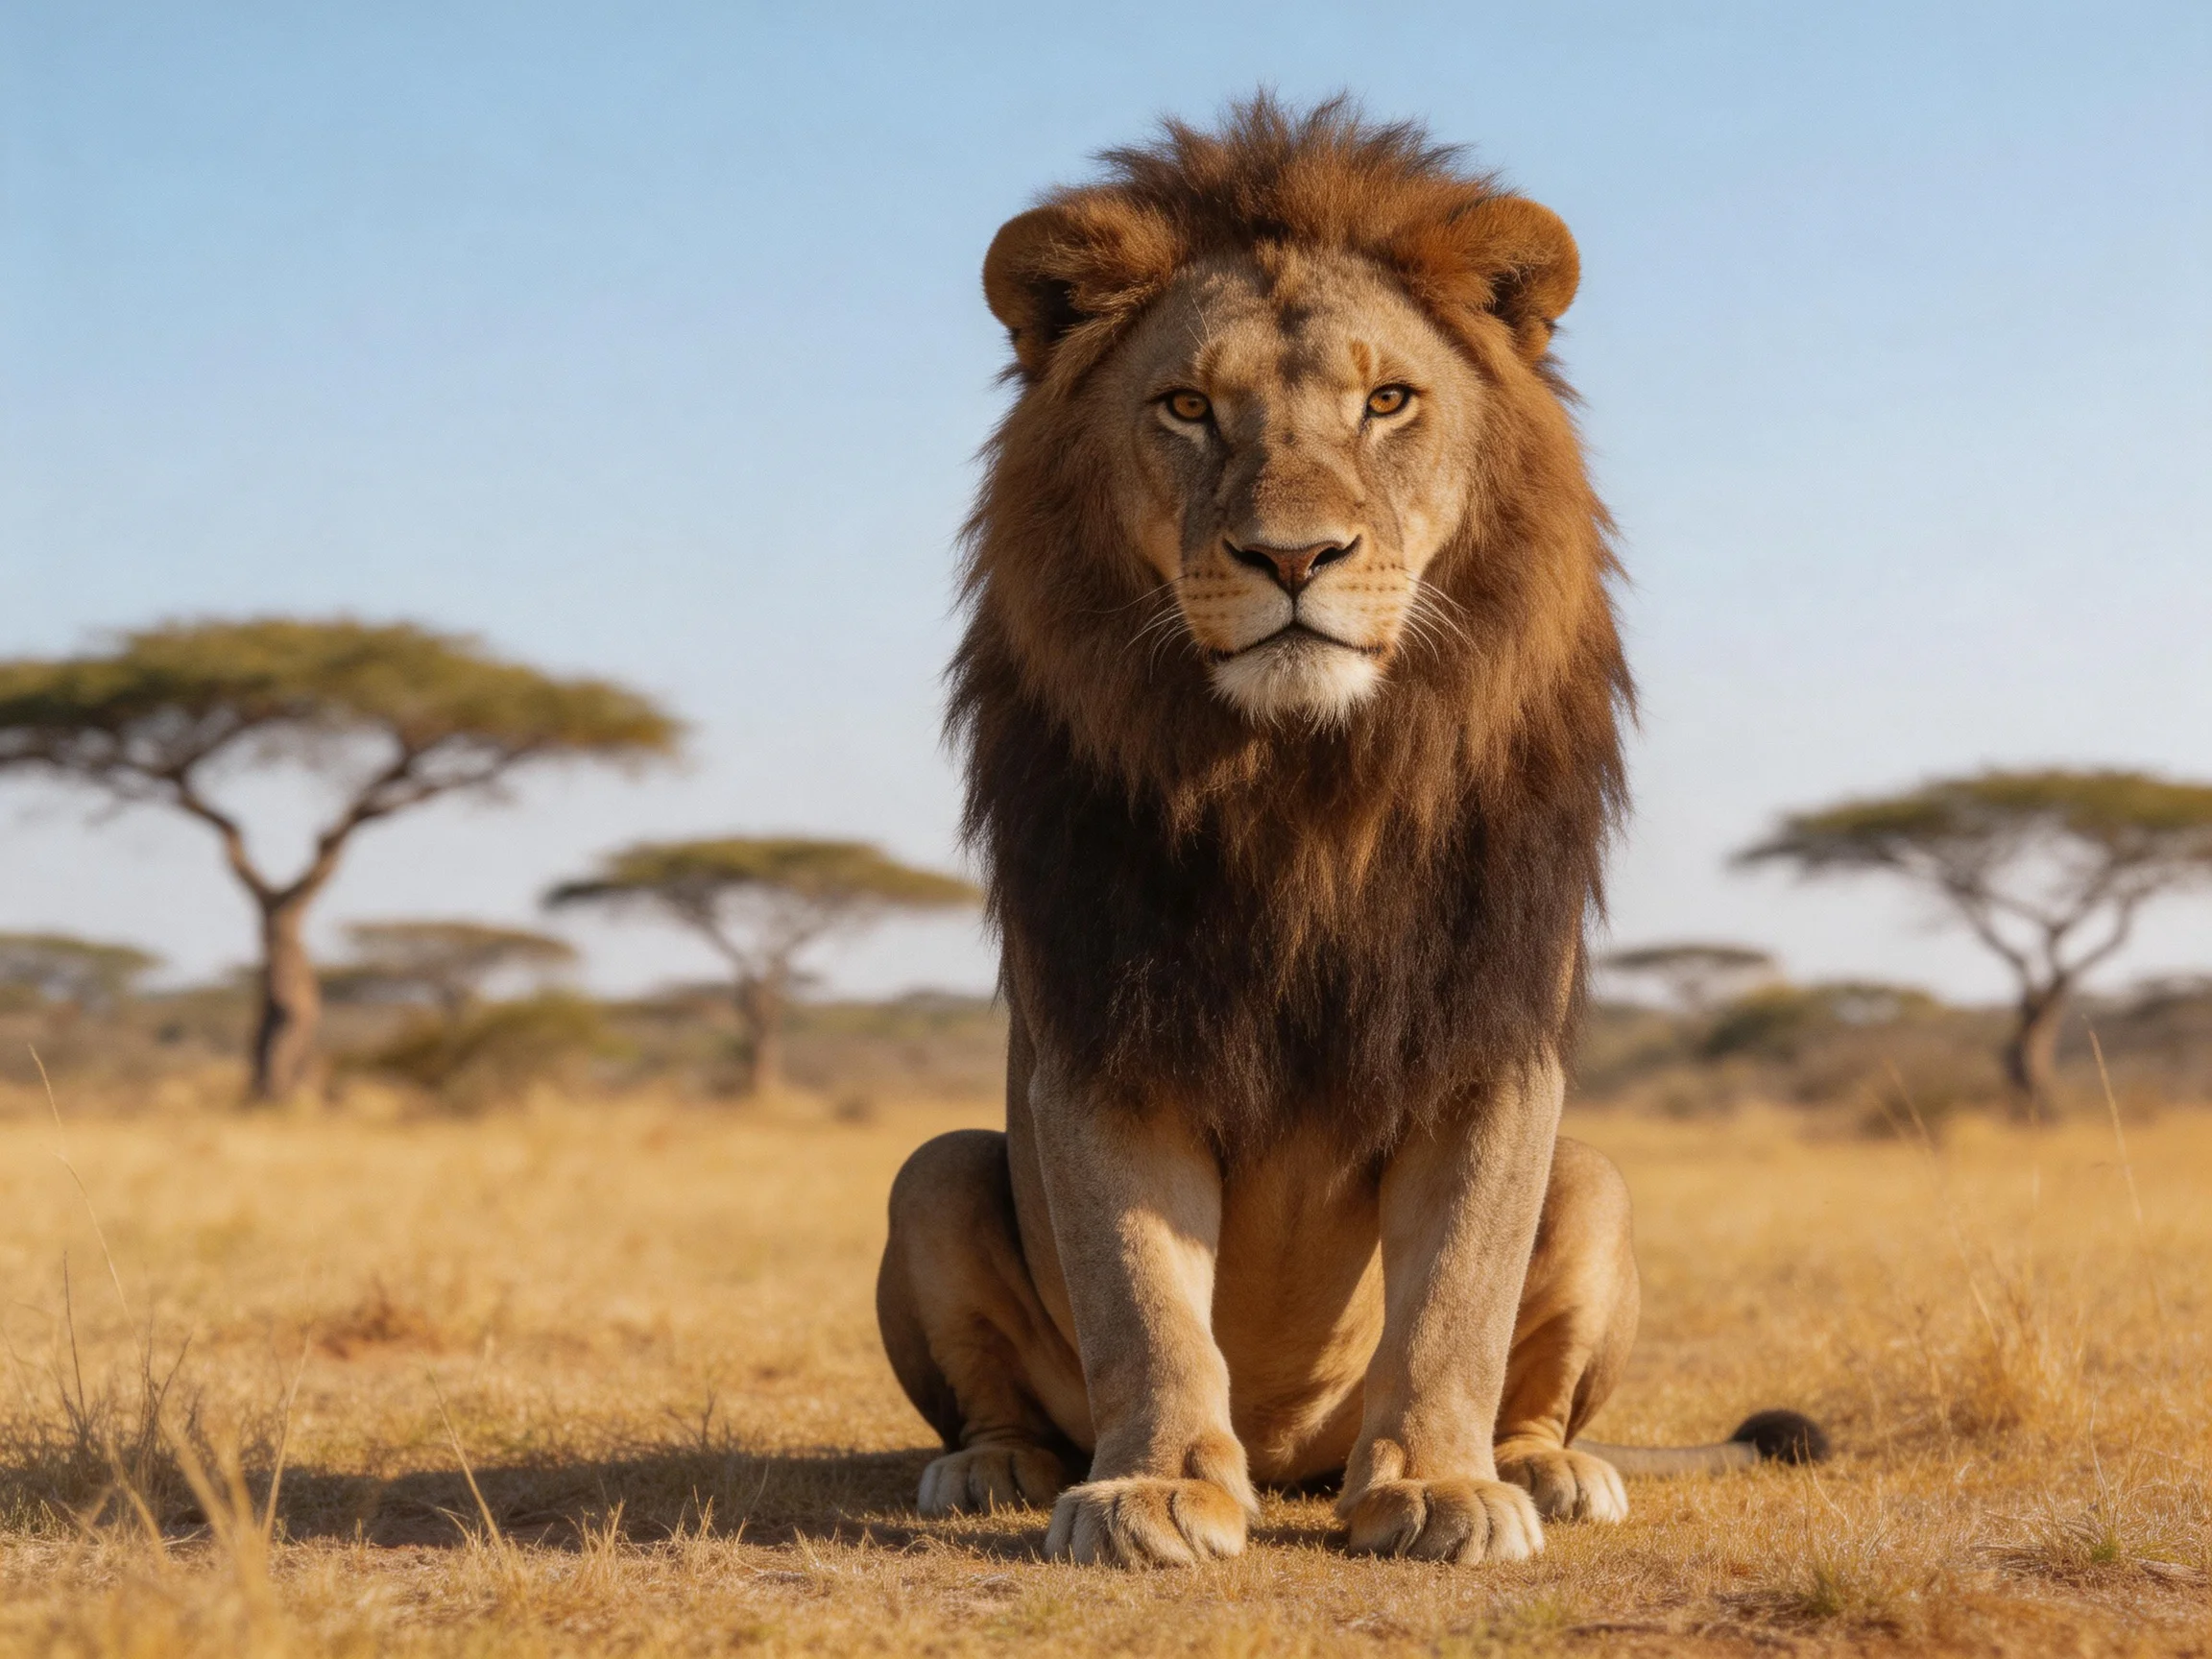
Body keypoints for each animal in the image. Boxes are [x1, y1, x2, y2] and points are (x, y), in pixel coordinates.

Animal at [876, 98, 1823, 1568]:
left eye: (1388, 402)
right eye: (1188, 407)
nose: (1292, 557)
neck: (1306, 790)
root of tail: (1291, 1457)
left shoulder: (1489, 1039)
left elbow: (1456, 1300)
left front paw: (1438, 1487)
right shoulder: (1105, 1033)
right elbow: (1143, 1298)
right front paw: (1154, 1488)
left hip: (1596, 1175)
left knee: (1534, 1372)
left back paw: (1543, 1467)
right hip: (931, 1172)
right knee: (988, 1345)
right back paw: (999, 1467)